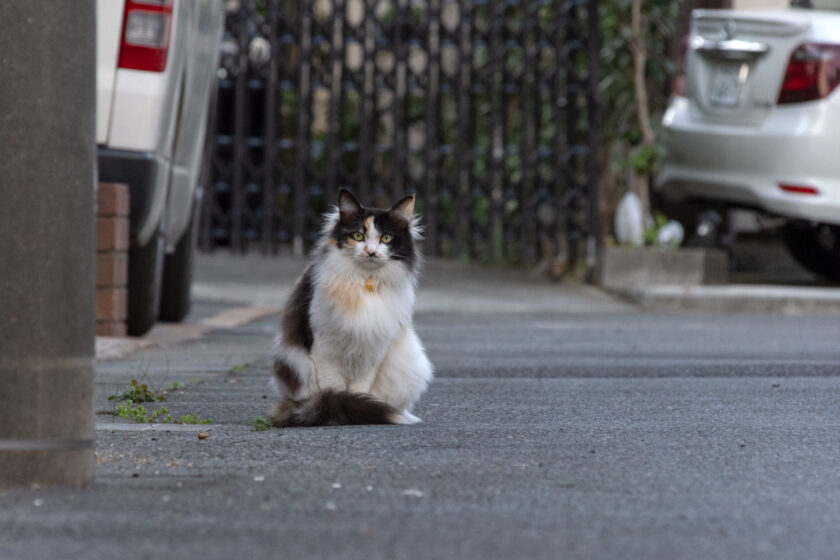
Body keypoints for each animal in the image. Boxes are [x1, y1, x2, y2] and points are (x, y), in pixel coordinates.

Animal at [270, 187, 434, 424]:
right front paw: (337, 407)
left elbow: (360, 388)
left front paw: (354, 406)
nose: (371, 252)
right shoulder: (324, 347)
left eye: (386, 238)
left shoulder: (374, 349)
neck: (364, 283)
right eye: (358, 236)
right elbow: (333, 388)